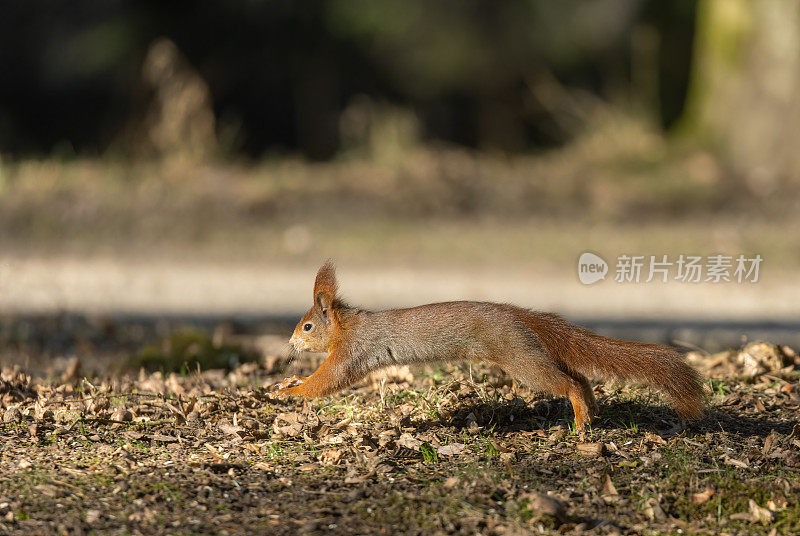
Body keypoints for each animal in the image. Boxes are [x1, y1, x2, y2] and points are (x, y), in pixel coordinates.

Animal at [276, 260, 708, 432]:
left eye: (308, 325)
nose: (291, 342)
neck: (348, 326)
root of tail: (521, 317)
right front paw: (286, 384)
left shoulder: (352, 353)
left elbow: (327, 382)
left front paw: (288, 391)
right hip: (529, 351)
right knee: (580, 378)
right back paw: (591, 411)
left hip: (519, 356)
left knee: (566, 382)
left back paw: (580, 417)